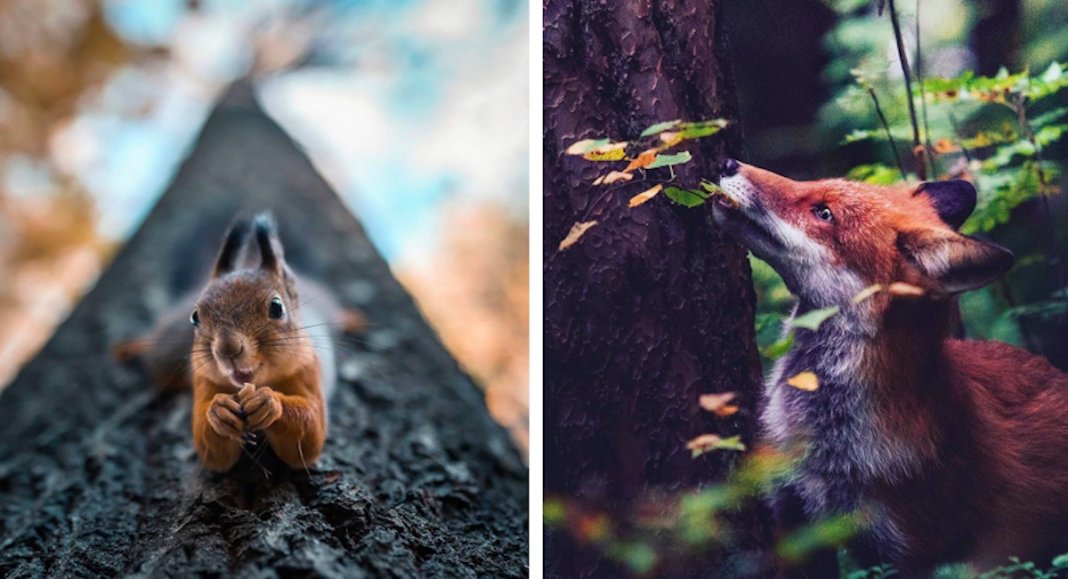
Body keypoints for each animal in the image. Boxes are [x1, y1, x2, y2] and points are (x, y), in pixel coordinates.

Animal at [115, 215, 367, 474]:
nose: (227, 349)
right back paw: (132, 347)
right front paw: (218, 412)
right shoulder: (203, 380)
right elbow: (212, 451)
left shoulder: (308, 370)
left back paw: (352, 319)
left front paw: (269, 402)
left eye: (277, 307)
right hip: (166, 353)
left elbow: (310, 436)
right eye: (195, 317)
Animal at [709, 160, 1068, 576]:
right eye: (813, 184)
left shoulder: (903, 550)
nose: (726, 163)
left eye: (824, 213)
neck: (830, 448)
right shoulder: (795, 519)